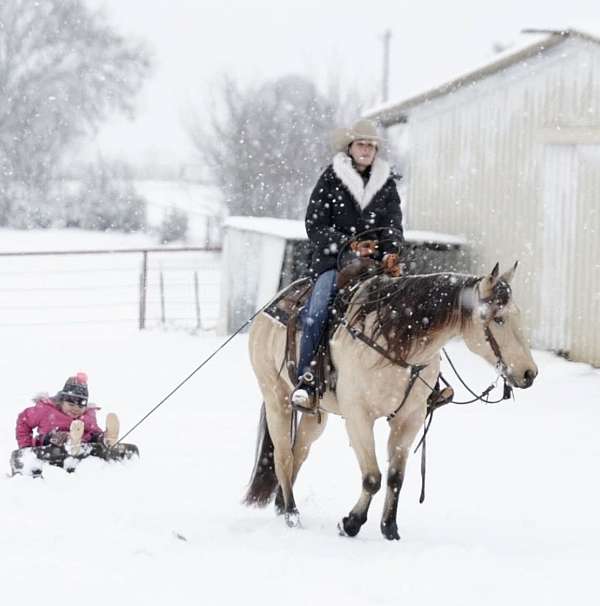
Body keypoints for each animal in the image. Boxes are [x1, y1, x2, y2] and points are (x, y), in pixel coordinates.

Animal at [244, 262, 540, 540]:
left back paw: (282, 505)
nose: (530, 373)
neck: (395, 341)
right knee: (282, 456)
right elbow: (372, 477)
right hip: (276, 397)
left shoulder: (410, 419)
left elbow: (396, 477)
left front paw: (389, 529)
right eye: (498, 319)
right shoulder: (358, 417)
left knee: (299, 452)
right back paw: (292, 514)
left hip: (317, 414)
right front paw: (350, 524)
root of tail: (273, 303)